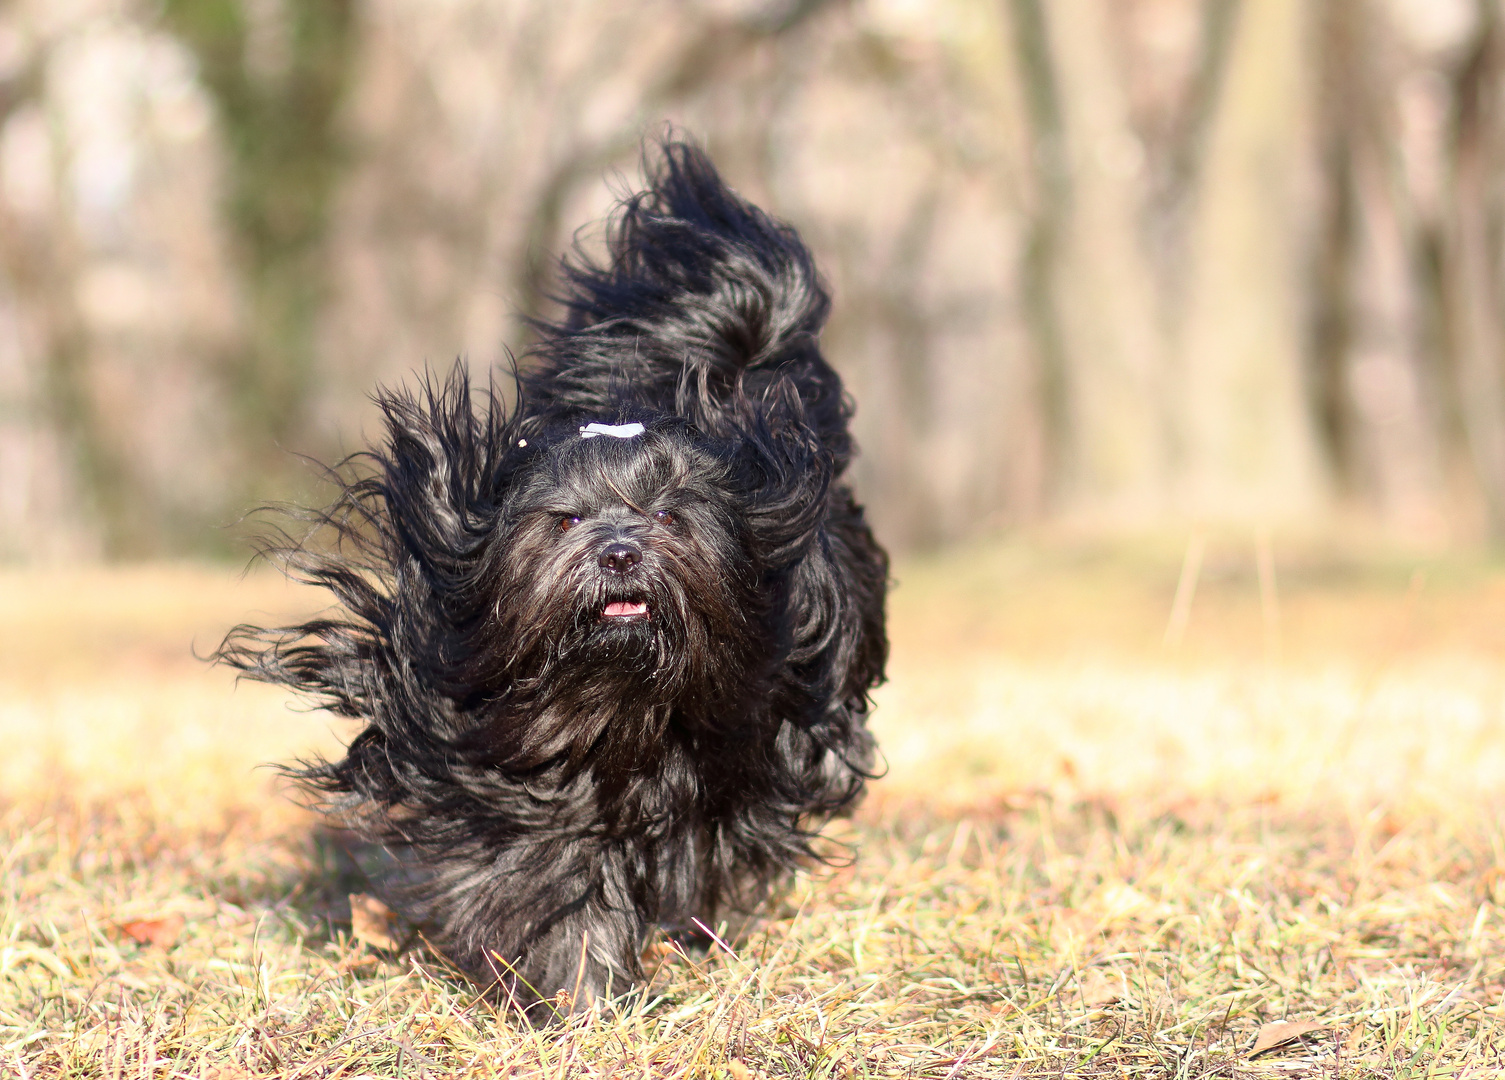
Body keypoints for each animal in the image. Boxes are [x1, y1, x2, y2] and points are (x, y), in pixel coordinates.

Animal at [218, 139, 884, 1016]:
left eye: (669, 515)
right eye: (564, 519)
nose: (620, 552)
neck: (617, 714)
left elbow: (691, 850)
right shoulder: (501, 787)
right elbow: (552, 876)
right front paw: (580, 992)